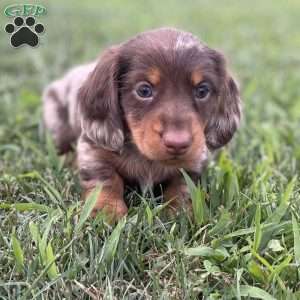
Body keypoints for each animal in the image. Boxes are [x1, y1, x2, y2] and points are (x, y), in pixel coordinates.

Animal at [42, 28, 241, 219]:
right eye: (144, 90)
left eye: (202, 91)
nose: (178, 143)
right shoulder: (94, 149)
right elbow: (105, 179)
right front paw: (106, 211)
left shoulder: (194, 161)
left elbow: (183, 185)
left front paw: (181, 211)